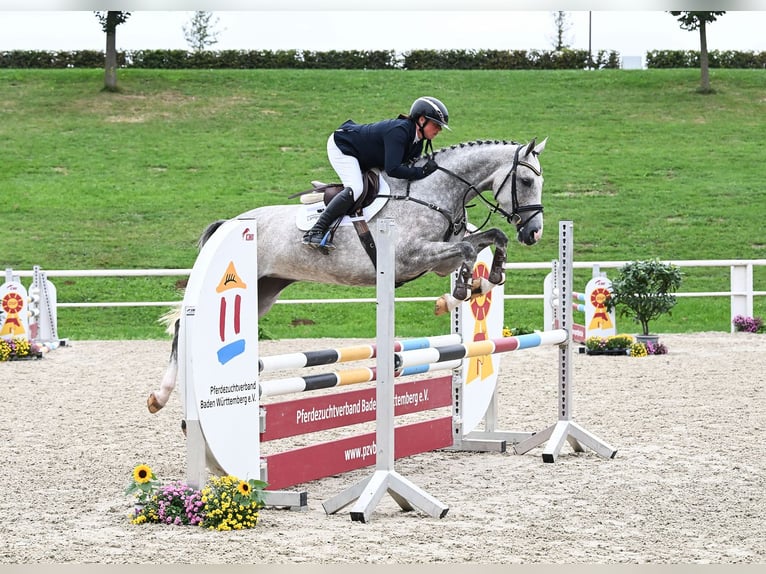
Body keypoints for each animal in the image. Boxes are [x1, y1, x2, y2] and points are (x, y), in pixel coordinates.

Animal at [148, 139, 544, 414]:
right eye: (525, 180)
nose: (534, 233)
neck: (432, 194)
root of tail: (229, 222)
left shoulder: (438, 260)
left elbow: (490, 238)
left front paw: (485, 280)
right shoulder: (411, 257)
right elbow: (466, 250)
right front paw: (461, 290)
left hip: (264, 290)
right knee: (183, 327)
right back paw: (160, 396)